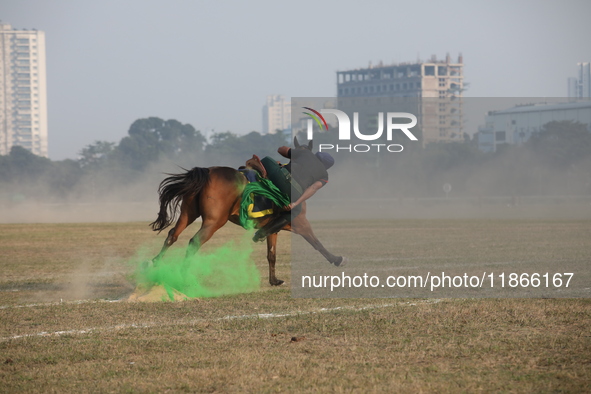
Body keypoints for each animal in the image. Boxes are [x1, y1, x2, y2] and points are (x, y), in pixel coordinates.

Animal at [148, 139, 344, 286]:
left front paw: (274, 280)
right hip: (214, 222)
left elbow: (271, 254)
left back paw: (154, 262)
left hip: (188, 214)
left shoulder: (274, 229)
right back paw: (182, 275)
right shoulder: (299, 222)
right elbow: (316, 243)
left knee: (172, 235)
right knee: (194, 242)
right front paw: (336, 259)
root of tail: (208, 171)